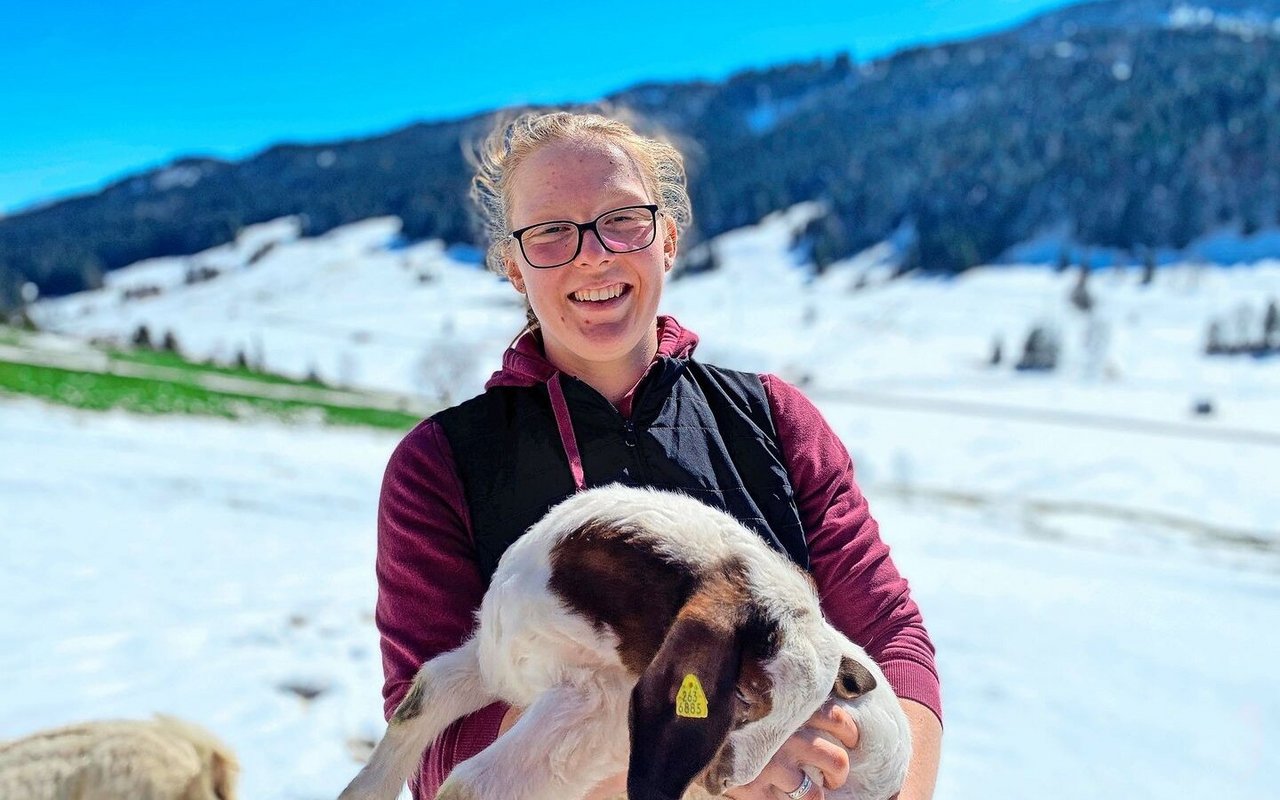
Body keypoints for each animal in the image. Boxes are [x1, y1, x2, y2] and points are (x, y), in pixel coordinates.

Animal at [340, 483, 911, 793]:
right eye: (744, 694)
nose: (729, 784)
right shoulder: (499, 661)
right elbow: (424, 693)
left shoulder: (593, 711)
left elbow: (470, 785)